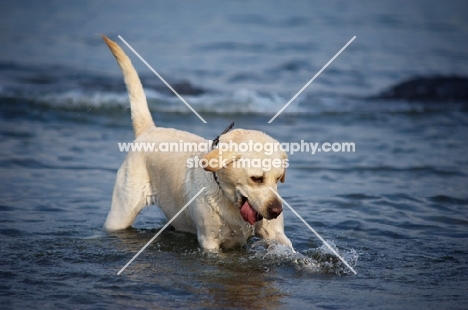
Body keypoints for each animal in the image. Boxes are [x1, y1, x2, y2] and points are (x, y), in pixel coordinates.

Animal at [103, 36, 292, 251]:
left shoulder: (277, 235)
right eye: (257, 179)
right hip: (121, 212)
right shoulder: (210, 241)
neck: (228, 199)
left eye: (278, 179)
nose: (276, 210)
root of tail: (149, 130)